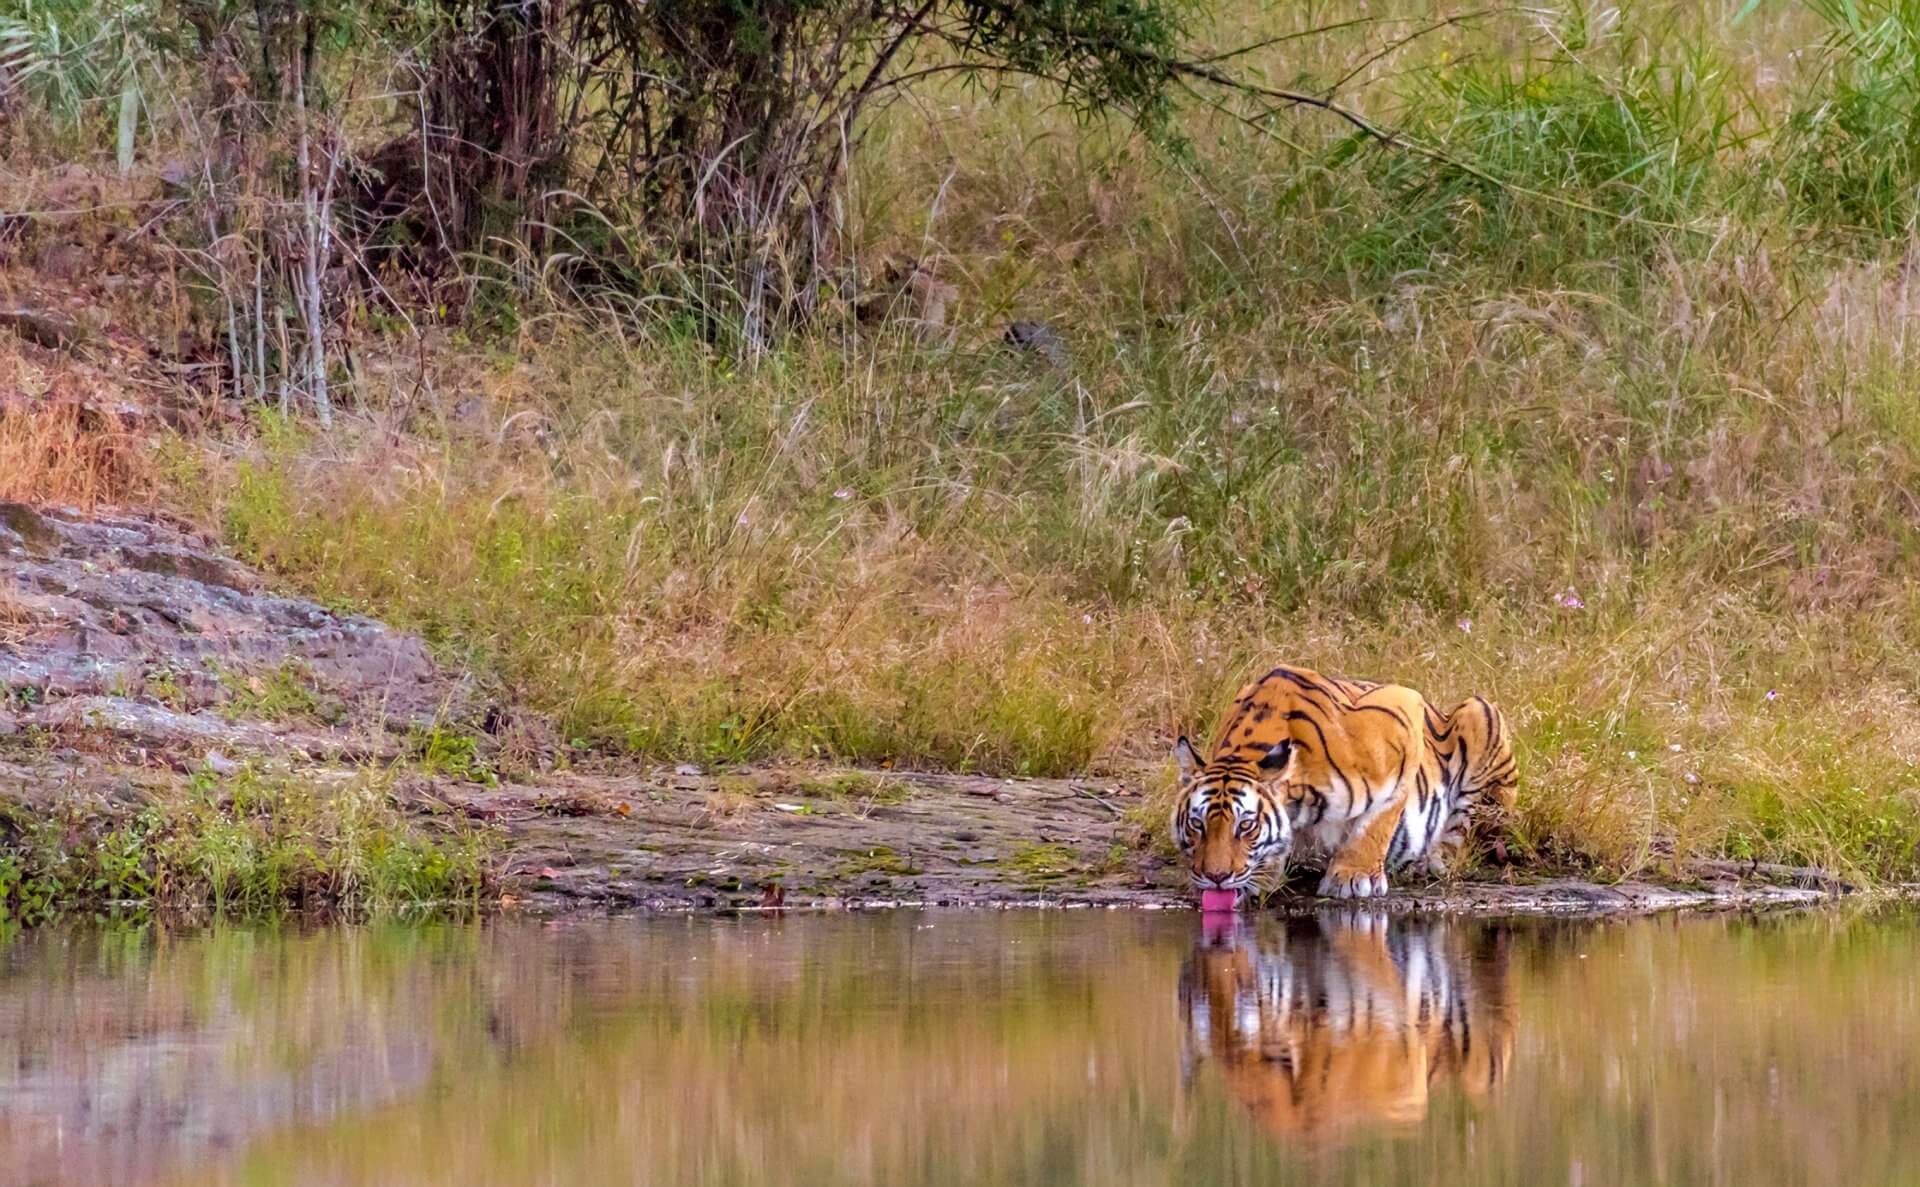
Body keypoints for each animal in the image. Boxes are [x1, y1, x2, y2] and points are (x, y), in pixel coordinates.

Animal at [1167, 660, 1512, 902]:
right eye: (1197, 824)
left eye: (1246, 826)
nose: (1216, 878)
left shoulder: (1404, 710)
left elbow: (1377, 821)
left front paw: (1353, 877)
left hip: (1481, 712)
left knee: (1462, 833)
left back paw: (1432, 861)